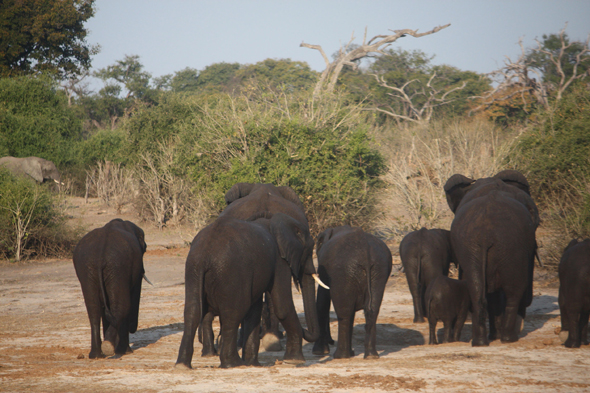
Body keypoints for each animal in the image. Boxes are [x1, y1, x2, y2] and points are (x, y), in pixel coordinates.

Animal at [73, 219, 148, 356]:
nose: (133, 327)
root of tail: (100, 254)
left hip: (87, 267)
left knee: (93, 309)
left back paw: (97, 354)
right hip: (118, 266)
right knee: (122, 306)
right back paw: (112, 348)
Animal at [176, 211, 320, 368]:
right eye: (310, 250)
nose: (305, 330)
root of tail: (205, 255)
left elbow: (255, 310)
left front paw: (253, 364)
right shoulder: (279, 261)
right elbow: (282, 306)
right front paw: (294, 360)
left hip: (193, 269)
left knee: (193, 311)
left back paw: (182, 365)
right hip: (230, 271)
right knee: (233, 313)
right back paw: (233, 363)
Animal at [312, 225, 396, 356]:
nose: (331, 341)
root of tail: (366, 251)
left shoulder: (324, 267)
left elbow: (322, 300)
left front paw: (319, 352)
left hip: (343, 271)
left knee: (344, 312)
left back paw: (341, 356)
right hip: (378, 270)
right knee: (372, 310)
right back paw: (371, 356)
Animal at [444, 169, 540, 346]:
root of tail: (485, 234)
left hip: (472, 246)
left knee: (476, 290)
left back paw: (480, 342)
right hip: (511, 245)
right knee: (514, 291)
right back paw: (509, 338)